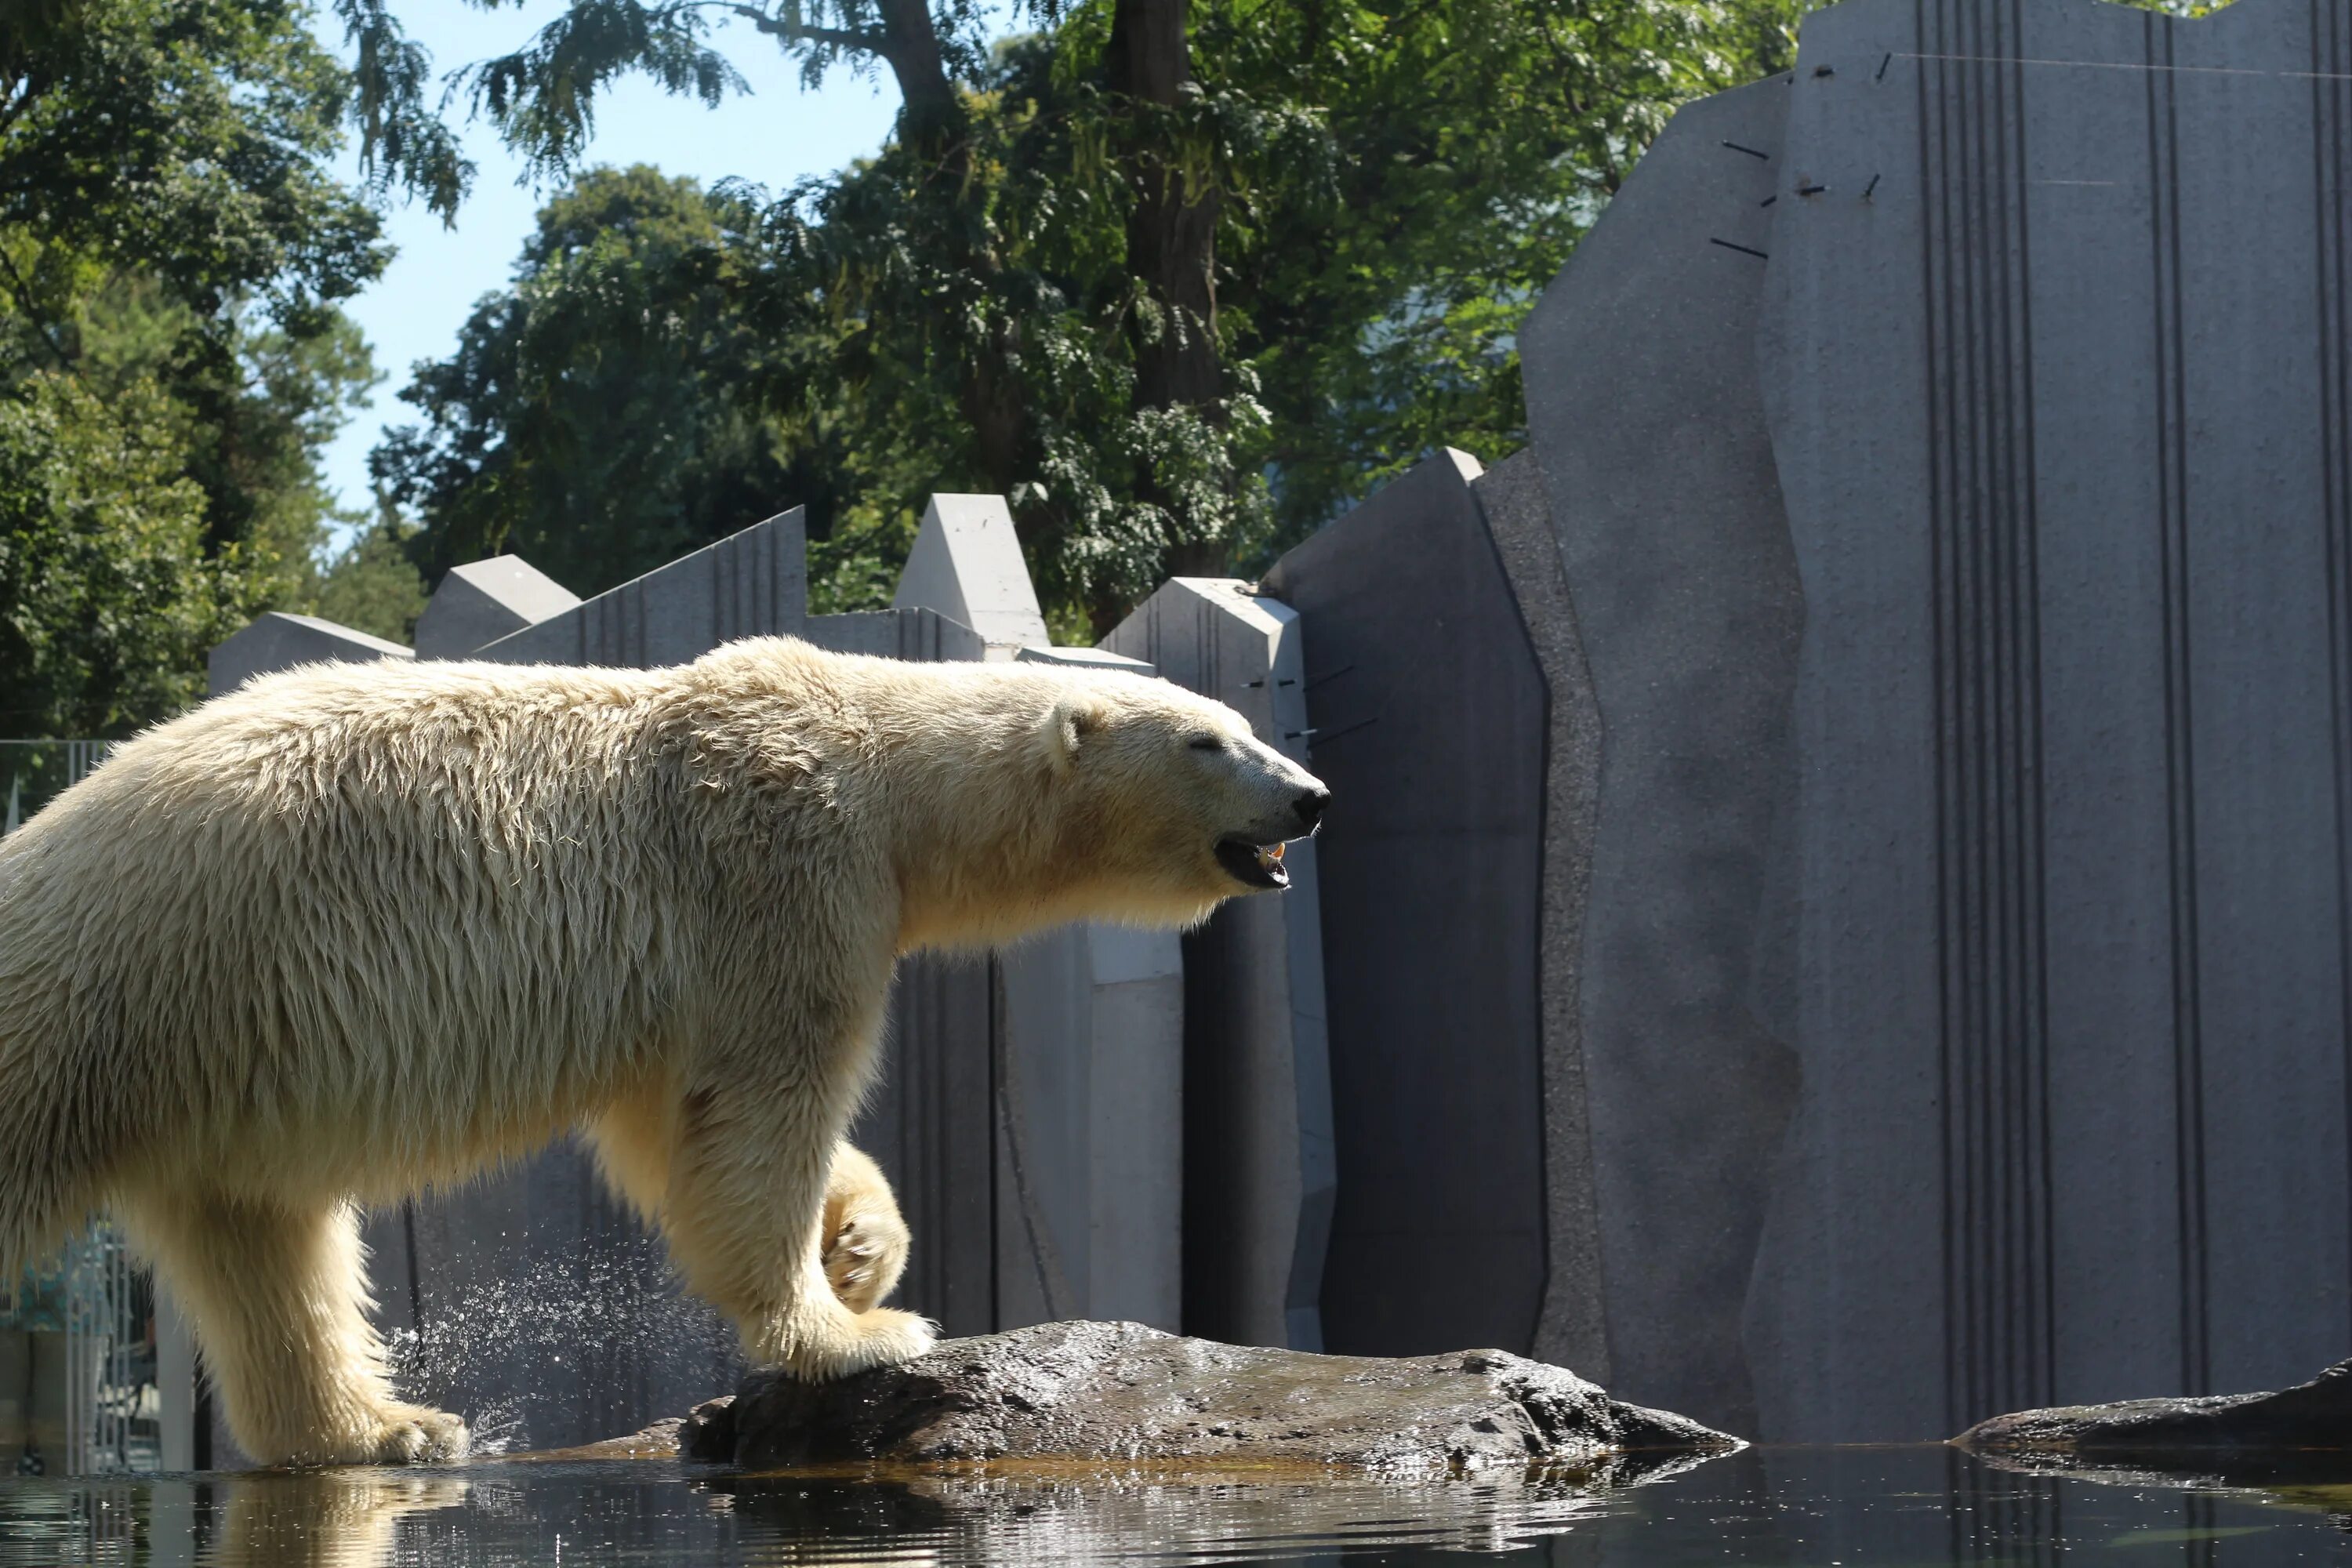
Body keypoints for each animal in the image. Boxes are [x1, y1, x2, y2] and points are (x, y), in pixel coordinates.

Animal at [0, 630, 1327, 1467]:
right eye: (1209, 740)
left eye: (1241, 722)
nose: (1311, 796)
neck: (886, 767)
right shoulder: (782, 870)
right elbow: (761, 1113)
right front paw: (855, 1333)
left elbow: (673, 1126)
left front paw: (862, 1249)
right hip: (109, 993)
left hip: (202, 1061)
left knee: (267, 1246)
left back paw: (390, 1427)